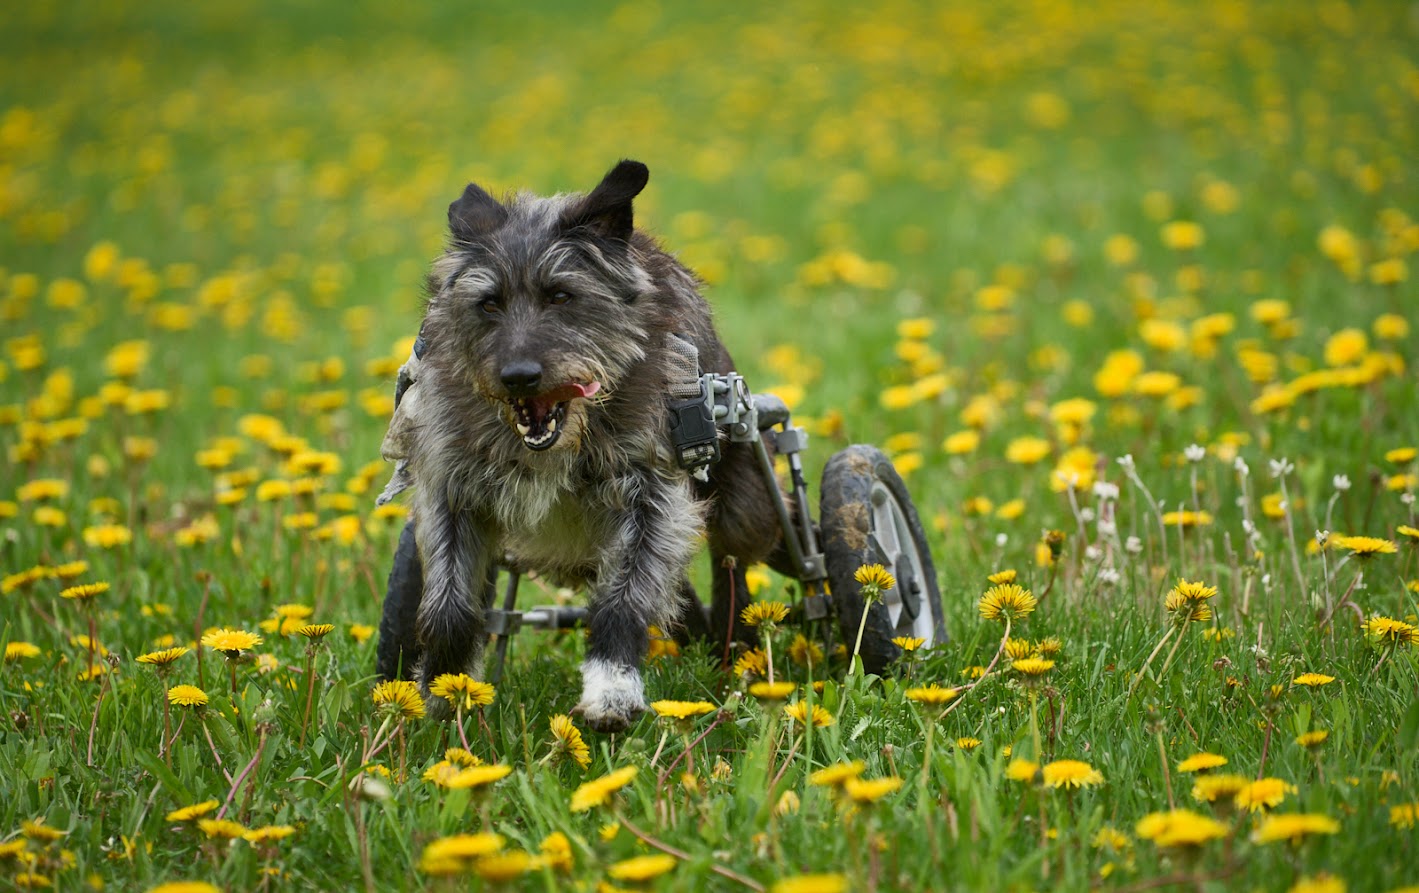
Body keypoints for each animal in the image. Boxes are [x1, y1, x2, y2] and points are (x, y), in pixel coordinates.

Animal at [374, 160, 788, 732]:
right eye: (489, 303)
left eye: (561, 295)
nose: (518, 376)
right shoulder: (453, 496)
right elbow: (450, 605)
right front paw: (441, 688)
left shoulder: (651, 500)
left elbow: (624, 600)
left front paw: (611, 689)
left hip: (746, 507)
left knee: (733, 562)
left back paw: (736, 641)